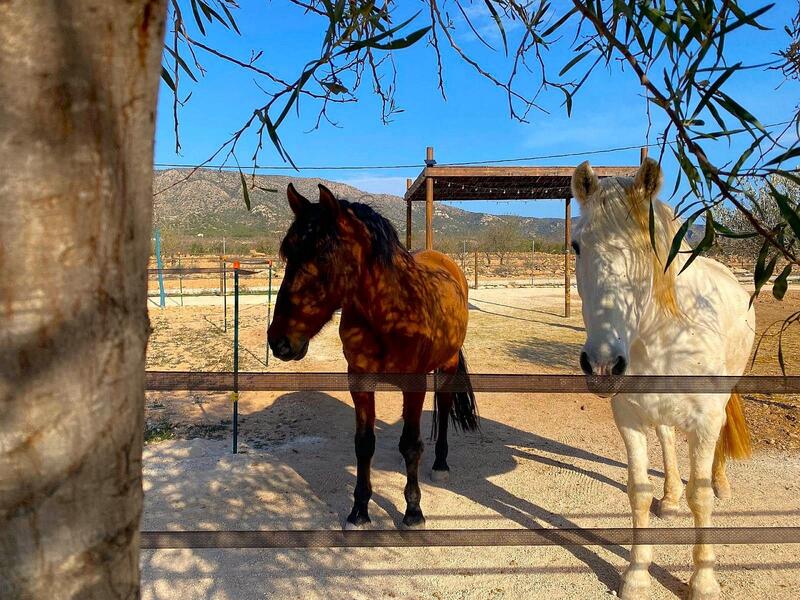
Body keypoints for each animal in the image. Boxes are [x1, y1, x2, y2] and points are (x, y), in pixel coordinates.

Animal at [268, 184, 478, 528]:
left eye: (322, 255)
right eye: (288, 253)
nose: (279, 342)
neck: (389, 311)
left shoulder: (414, 385)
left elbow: (410, 445)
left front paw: (413, 510)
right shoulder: (359, 380)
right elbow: (364, 444)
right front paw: (360, 510)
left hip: (446, 366)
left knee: (444, 409)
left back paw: (440, 464)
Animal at [572, 159, 752, 600]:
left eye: (647, 248)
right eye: (577, 246)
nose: (602, 365)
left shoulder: (705, 419)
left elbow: (700, 497)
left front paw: (703, 581)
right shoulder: (629, 419)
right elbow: (638, 493)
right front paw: (636, 575)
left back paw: (721, 483)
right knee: (668, 438)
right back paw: (670, 499)